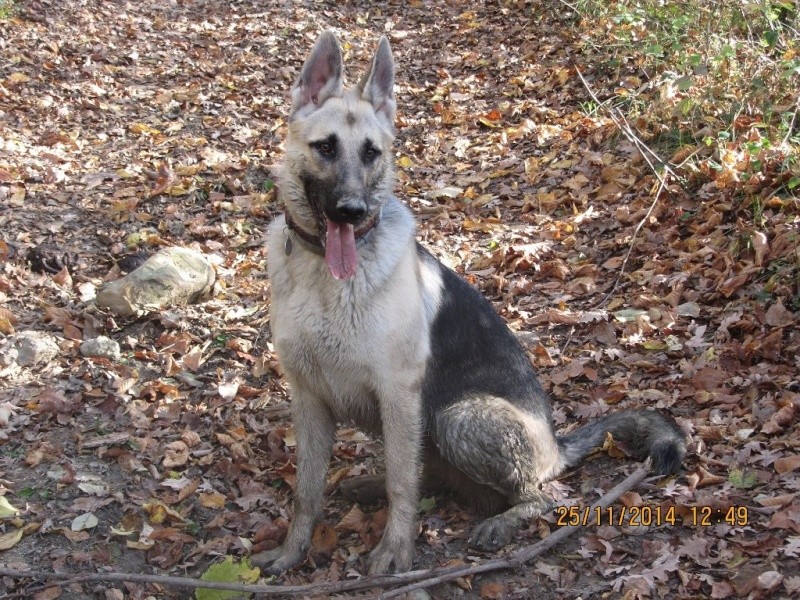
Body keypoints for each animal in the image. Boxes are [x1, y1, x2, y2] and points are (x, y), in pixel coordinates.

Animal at [252, 30, 688, 576]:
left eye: (371, 154)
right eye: (326, 147)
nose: (352, 211)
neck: (325, 278)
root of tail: (555, 445)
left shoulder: (399, 395)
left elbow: (402, 485)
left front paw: (397, 551)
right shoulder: (309, 399)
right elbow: (306, 492)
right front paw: (293, 551)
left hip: (456, 417)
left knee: (539, 496)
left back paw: (503, 521)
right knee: (433, 476)